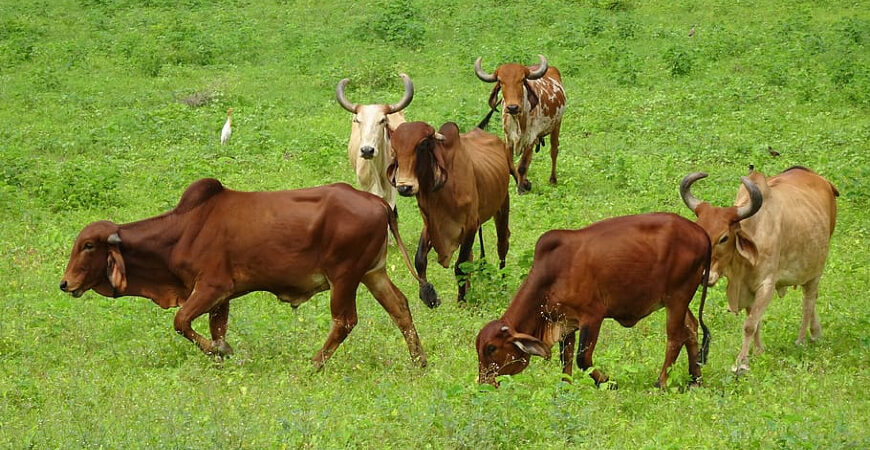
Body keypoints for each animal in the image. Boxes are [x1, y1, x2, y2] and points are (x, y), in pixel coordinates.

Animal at [59, 179, 427, 369]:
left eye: (88, 246)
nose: (65, 284)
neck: (183, 231)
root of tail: (378, 203)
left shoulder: (210, 286)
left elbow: (180, 322)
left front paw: (222, 351)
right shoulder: (222, 297)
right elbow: (214, 328)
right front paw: (222, 355)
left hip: (345, 277)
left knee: (345, 321)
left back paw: (313, 365)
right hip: (372, 273)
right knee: (400, 308)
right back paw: (419, 362)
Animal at [388, 121, 511, 306]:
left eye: (422, 144)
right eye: (394, 148)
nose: (404, 187)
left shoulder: (470, 225)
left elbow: (460, 266)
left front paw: (461, 301)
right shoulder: (430, 225)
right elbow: (419, 260)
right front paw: (428, 295)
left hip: (503, 205)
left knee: (502, 246)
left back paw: (502, 285)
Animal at [475, 54, 566, 195]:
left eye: (522, 80)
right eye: (500, 81)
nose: (512, 107)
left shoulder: (530, 139)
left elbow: (522, 166)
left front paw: (522, 187)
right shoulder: (508, 139)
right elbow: (512, 166)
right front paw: (524, 183)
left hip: (557, 125)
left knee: (554, 151)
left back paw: (553, 179)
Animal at [475, 213, 712, 389]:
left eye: (491, 348)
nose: (484, 383)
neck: (551, 275)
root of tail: (701, 233)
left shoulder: (593, 316)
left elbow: (583, 359)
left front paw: (609, 382)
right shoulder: (566, 322)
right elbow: (566, 361)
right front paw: (566, 389)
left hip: (677, 296)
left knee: (675, 337)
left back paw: (661, 383)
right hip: (678, 299)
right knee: (691, 328)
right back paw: (695, 380)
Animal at [680, 165, 838, 374]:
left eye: (723, 238)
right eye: (699, 232)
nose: (705, 276)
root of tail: (822, 180)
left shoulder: (766, 286)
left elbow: (749, 325)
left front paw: (740, 362)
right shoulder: (747, 290)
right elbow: (755, 321)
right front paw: (757, 353)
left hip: (816, 270)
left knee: (808, 302)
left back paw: (801, 339)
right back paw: (816, 333)